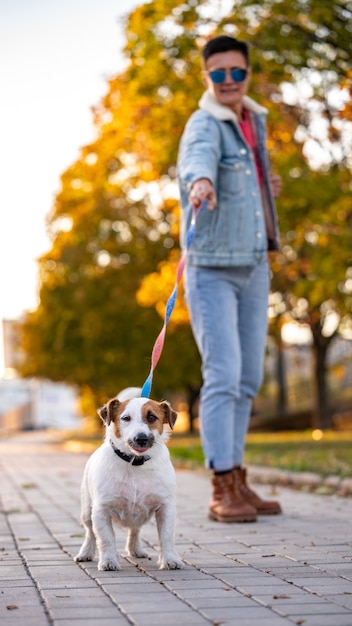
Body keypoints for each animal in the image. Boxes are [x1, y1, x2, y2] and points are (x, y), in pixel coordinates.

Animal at [74, 388, 184, 568]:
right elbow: (106, 539)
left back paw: (135, 549)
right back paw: (85, 553)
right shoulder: (101, 511)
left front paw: (170, 559)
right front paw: (109, 561)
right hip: (87, 511)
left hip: (139, 514)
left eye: (152, 417)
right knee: (90, 533)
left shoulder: (165, 507)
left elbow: (166, 537)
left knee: (135, 530)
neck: (135, 462)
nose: (141, 438)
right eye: (125, 418)